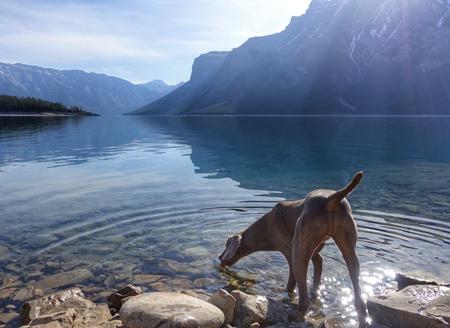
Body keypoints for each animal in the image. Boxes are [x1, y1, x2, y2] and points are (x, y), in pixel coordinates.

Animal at [220, 173, 368, 326]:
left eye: (225, 245)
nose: (219, 258)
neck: (266, 226)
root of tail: (332, 199)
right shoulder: (315, 253)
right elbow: (318, 268)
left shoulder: (289, 252)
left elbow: (291, 284)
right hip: (349, 249)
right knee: (360, 301)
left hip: (299, 250)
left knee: (304, 300)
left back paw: (295, 315)